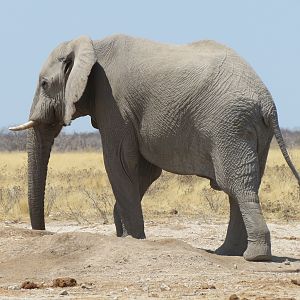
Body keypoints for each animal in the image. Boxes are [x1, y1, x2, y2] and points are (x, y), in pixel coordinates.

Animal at [9, 34, 300, 260]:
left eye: (44, 84)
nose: (42, 231)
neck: (91, 44)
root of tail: (267, 102)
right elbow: (145, 171)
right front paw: (123, 232)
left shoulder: (113, 102)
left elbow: (118, 162)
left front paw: (132, 238)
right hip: (250, 130)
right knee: (243, 185)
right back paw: (228, 253)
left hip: (228, 125)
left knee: (236, 186)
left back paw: (253, 256)